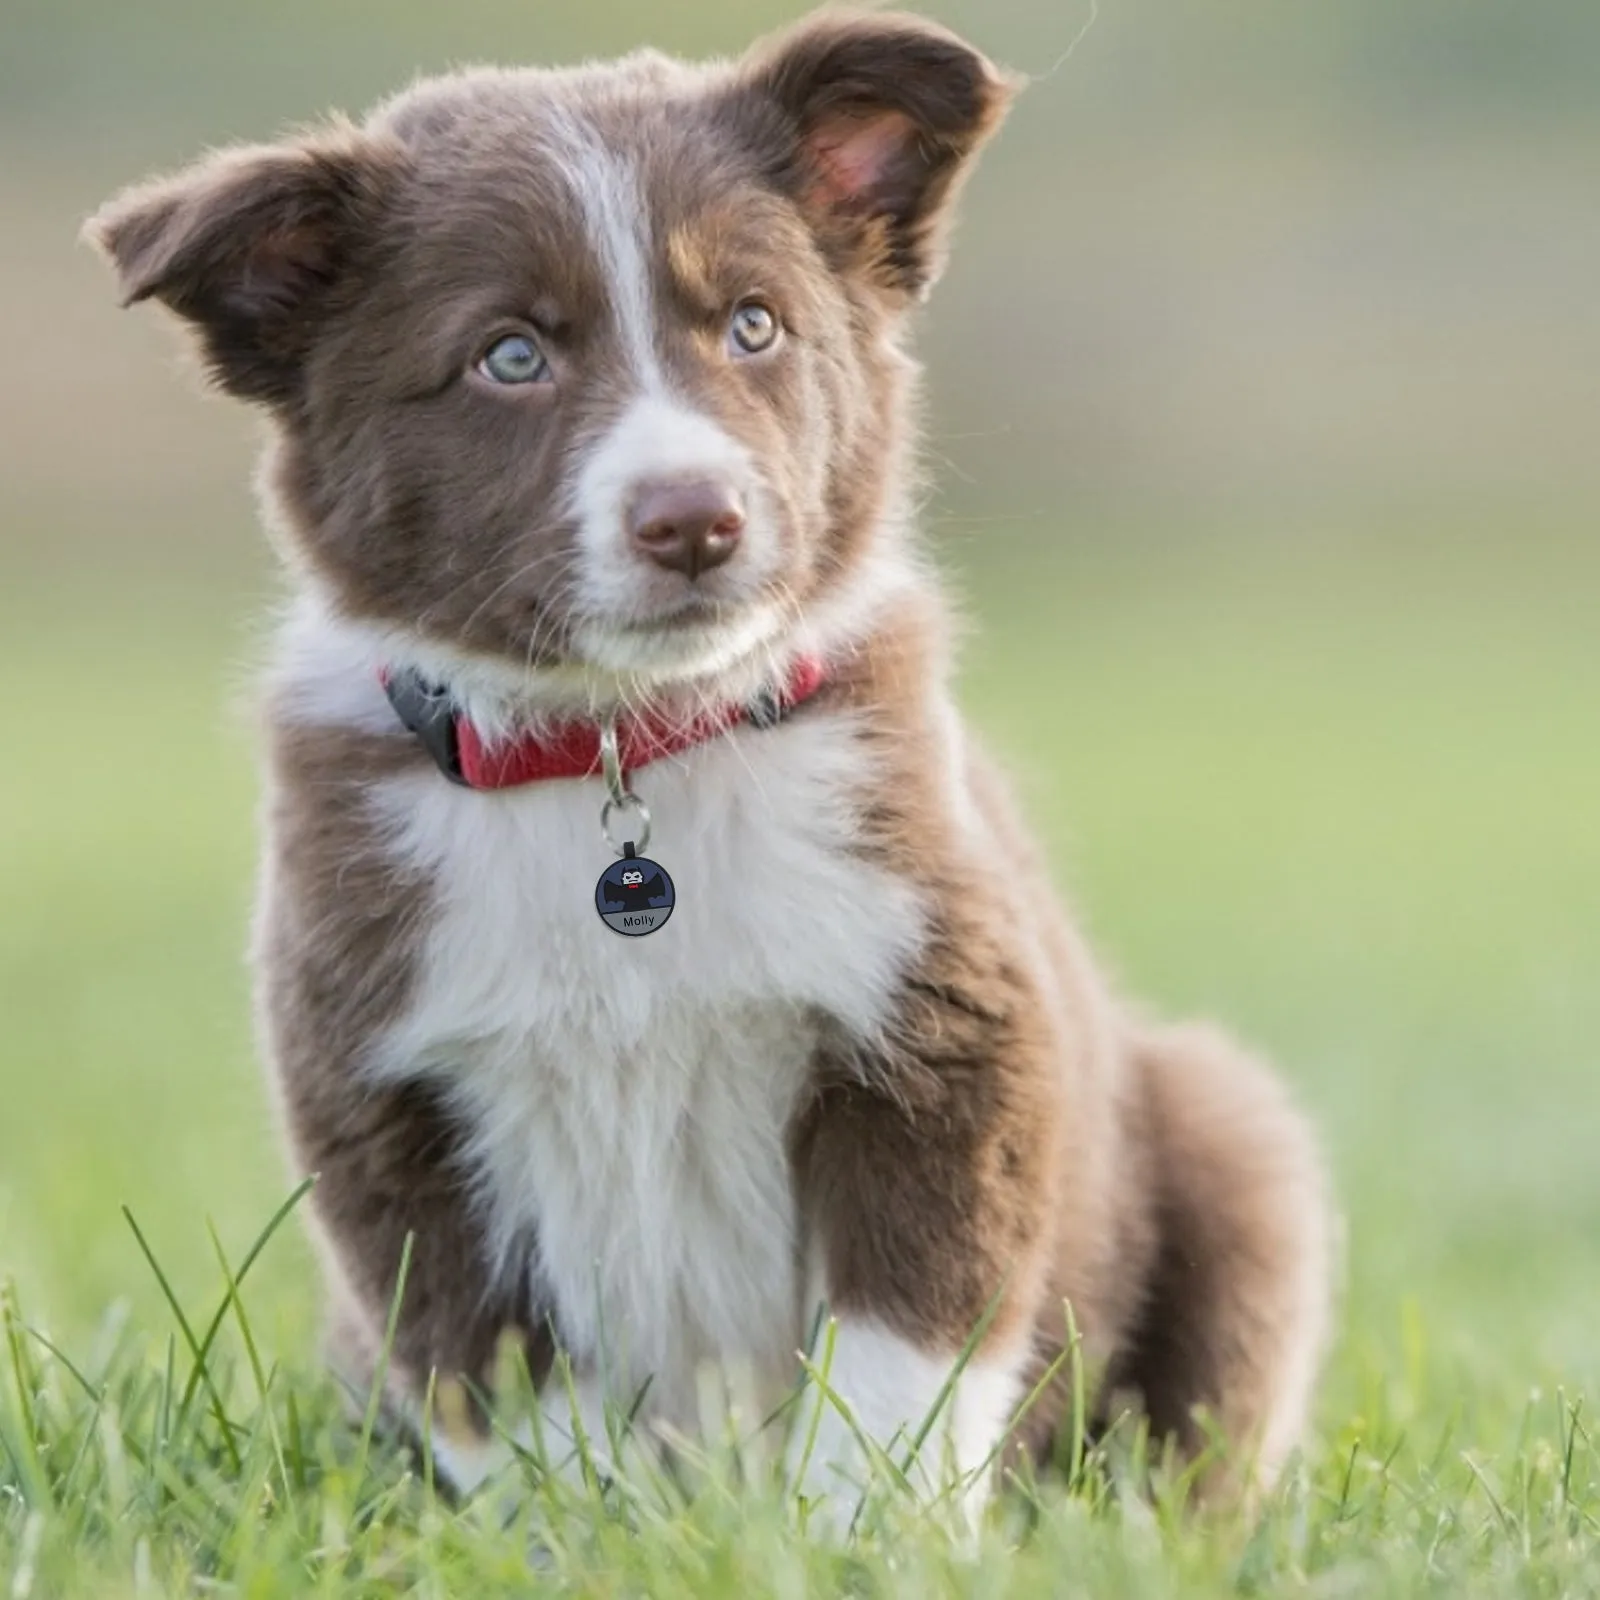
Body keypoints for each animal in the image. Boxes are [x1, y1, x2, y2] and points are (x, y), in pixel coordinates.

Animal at [90, 6, 1337, 1516]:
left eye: (754, 325)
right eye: (510, 355)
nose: (696, 519)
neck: (624, 747)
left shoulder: (946, 1042)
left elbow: (898, 1356)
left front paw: (854, 1532)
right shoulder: (391, 1113)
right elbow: (512, 1386)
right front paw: (599, 1532)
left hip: (1230, 1144)